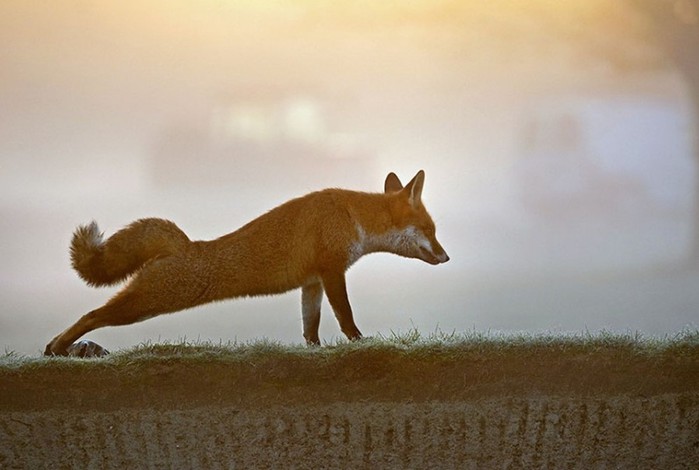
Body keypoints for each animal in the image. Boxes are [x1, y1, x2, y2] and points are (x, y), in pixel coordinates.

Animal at [45, 169, 448, 356]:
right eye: (431, 229)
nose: (446, 257)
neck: (352, 217)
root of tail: (184, 245)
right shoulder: (333, 272)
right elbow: (346, 317)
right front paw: (360, 343)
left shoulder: (313, 282)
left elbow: (311, 327)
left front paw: (315, 352)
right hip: (145, 306)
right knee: (90, 316)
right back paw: (58, 348)